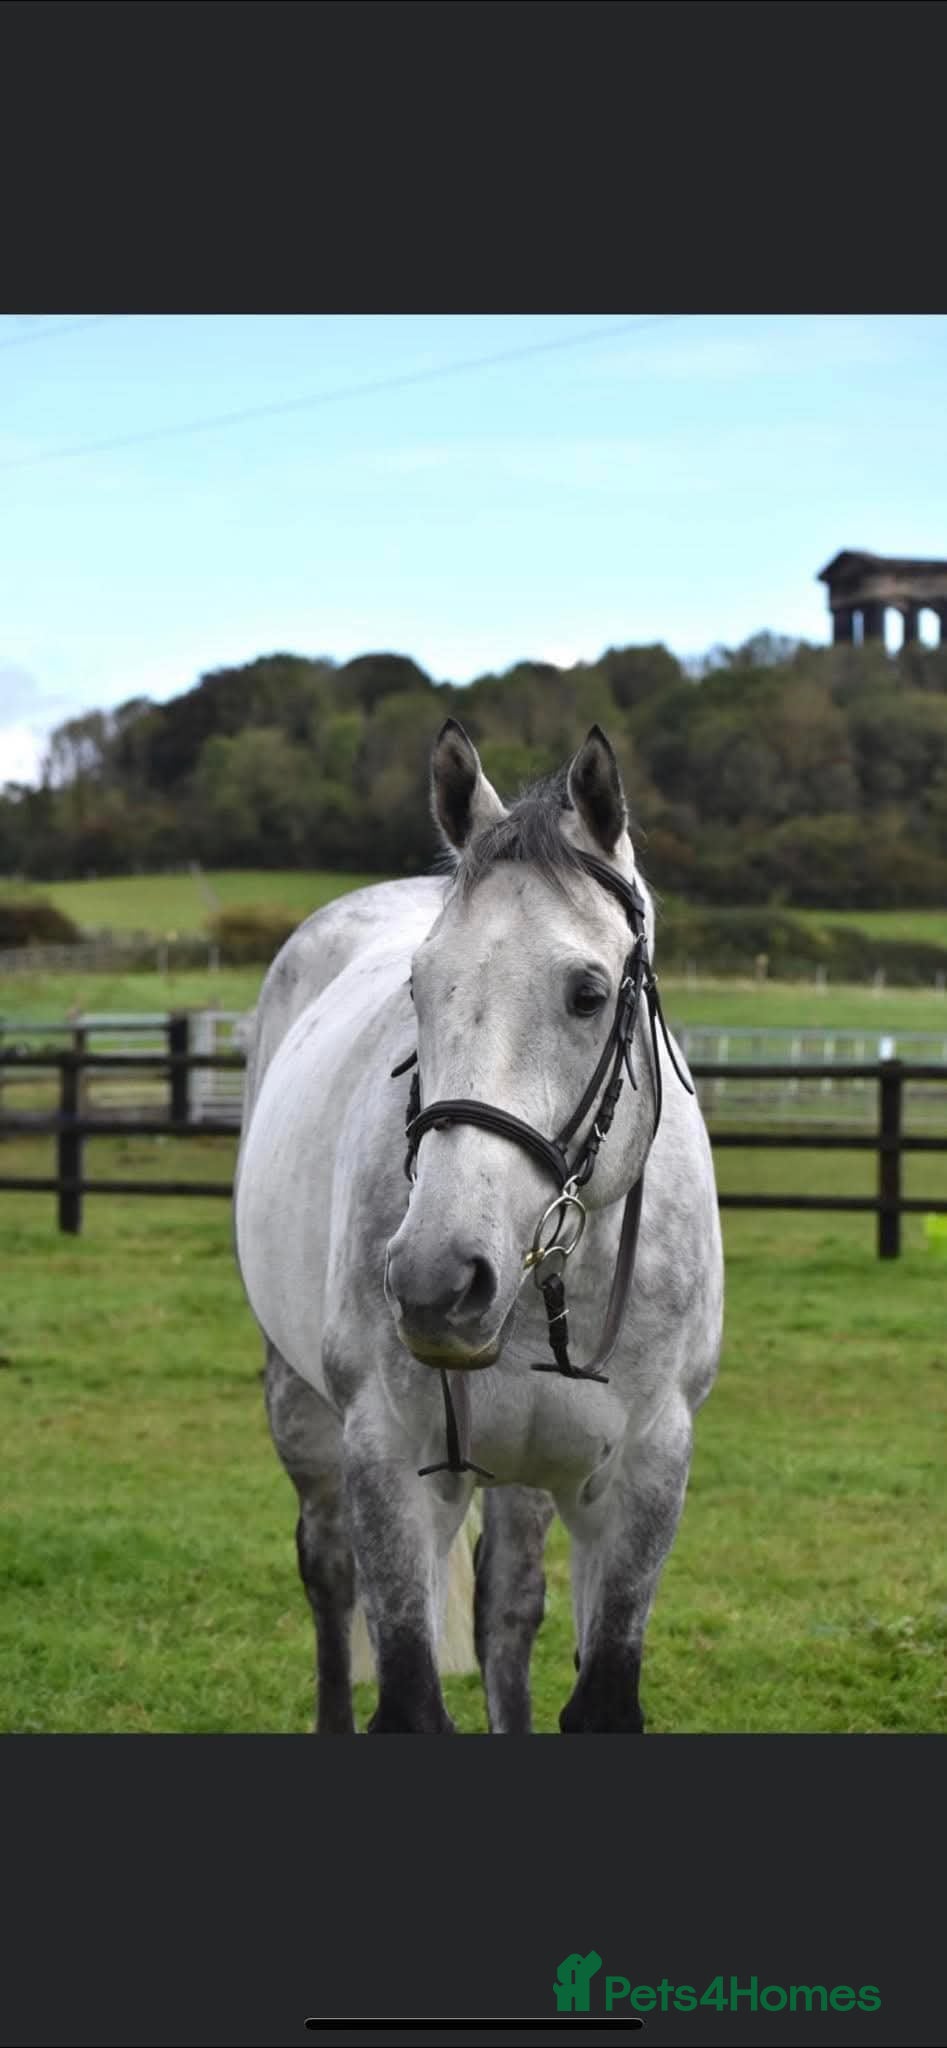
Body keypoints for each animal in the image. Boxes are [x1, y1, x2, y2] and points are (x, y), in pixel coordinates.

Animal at [234, 721, 724, 1733]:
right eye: (419, 988)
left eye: (586, 994)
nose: (436, 1283)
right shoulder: (389, 1458)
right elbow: (408, 1692)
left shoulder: (642, 1475)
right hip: (300, 1410)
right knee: (328, 1570)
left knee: (506, 1607)